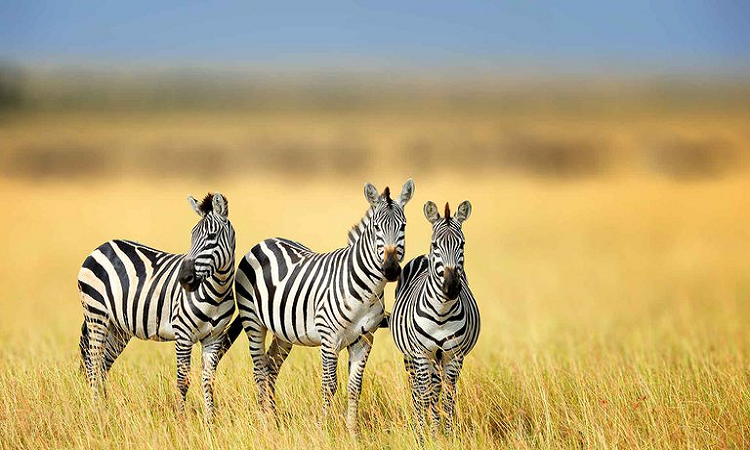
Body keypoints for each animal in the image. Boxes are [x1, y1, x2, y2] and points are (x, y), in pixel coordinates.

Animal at [77, 192, 236, 420]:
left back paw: (106, 410)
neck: (217, 292)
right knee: (93, 363)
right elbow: (183, 381)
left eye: (212, 236)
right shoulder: (183, 334)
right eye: (192, 236)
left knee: (103, 366)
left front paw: (210, 421)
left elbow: (208, 380)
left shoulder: (214, 337)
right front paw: (181, 421)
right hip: (96, 315)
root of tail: (102, 246)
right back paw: (96, 411)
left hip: (118, 328)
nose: (184, 279)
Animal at [223, 179, 414, 434]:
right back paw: (265, 423)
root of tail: (265, 241)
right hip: (253, 322)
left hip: (284, 332)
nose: (391, 269)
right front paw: (323, 429)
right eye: (376, 228)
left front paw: (352, 433)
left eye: (403, 226)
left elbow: (355, 387)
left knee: (271, 366)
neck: (366, 290)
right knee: (259, 371)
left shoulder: (364, 340)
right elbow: (329, 385)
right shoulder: (329, 338)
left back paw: (274, 419)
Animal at [390, 200, 480, 437]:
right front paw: (425, 435)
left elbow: (447, 398)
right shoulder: (421, 354)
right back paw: (419, 425)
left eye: (462, 244)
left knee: (437, 388)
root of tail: (423, 256)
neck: (441, 312)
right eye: (435, 245)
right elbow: (424, 394)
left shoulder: (454, 356)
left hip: (439, 358)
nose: (451, 287)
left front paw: (447, 434)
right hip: (411, 356)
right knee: (417, 389)